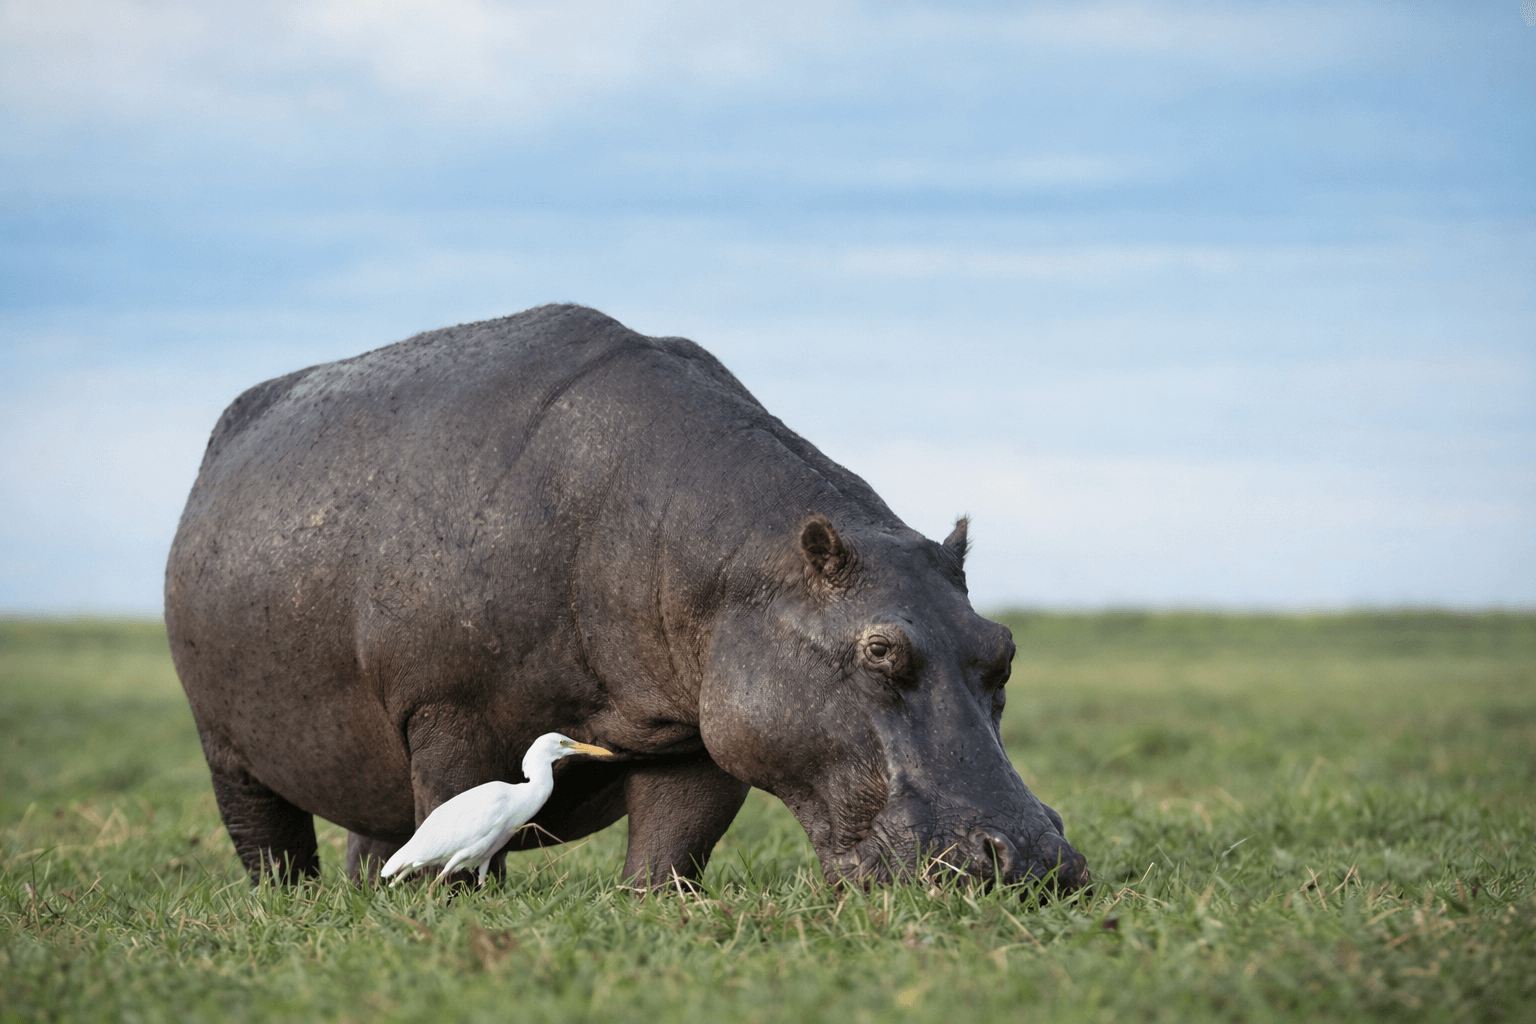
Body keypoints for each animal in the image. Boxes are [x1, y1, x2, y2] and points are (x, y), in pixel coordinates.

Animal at [165, 304, 1088, 891]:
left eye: (1002, 647)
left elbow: (674, 848)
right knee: (270, 842)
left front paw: (655, 911)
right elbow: (461, 823)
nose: (1033, 861)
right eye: (879, 650)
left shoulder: (697, 729)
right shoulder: (445, 710)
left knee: (379, 833)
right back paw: (287, 903)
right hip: (226, 746)